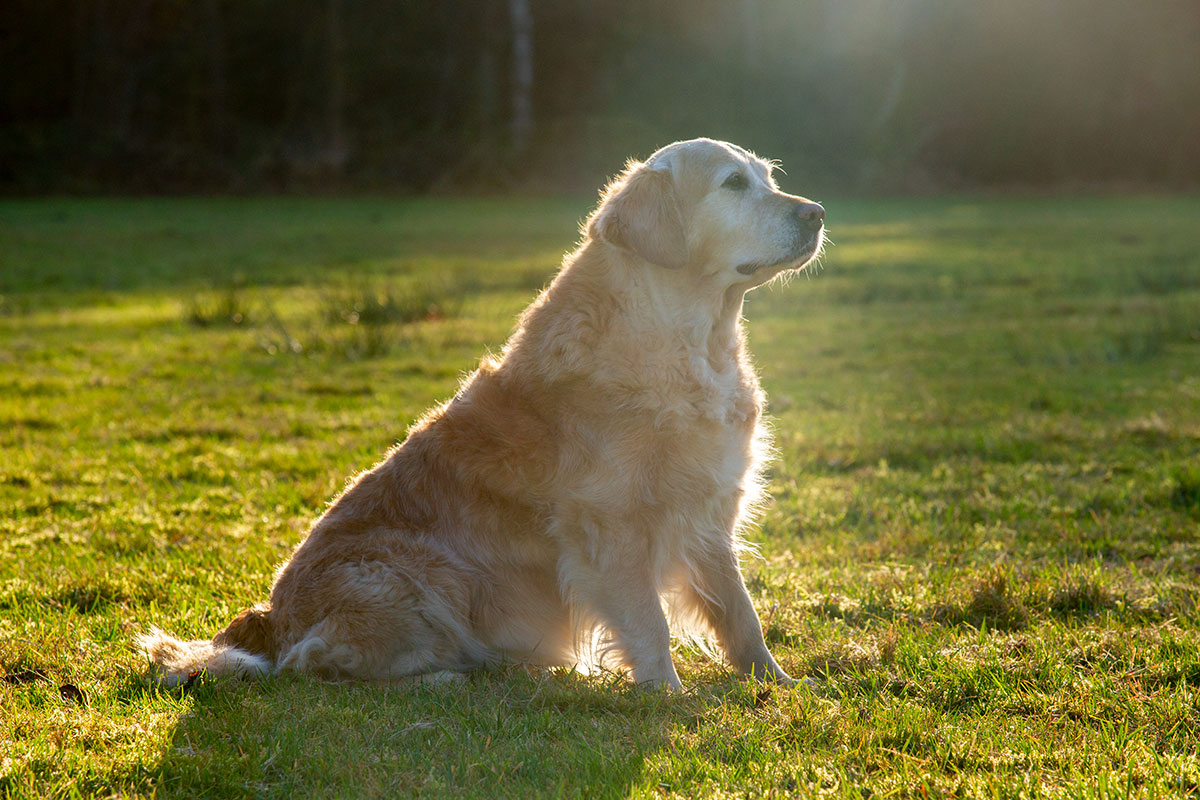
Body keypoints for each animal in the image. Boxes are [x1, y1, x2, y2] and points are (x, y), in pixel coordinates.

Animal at [140, 137, 825, 690]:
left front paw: (778, 683)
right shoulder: (610, 525)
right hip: (416, 572)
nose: (816, 213)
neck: (688, 342)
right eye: (732, 184)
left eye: (767, 177)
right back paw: (444, 678)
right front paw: (667, 697)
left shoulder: (710, 513)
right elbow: (649, 624)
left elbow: (741, 613)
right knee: (315, 662)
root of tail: (271, 618)